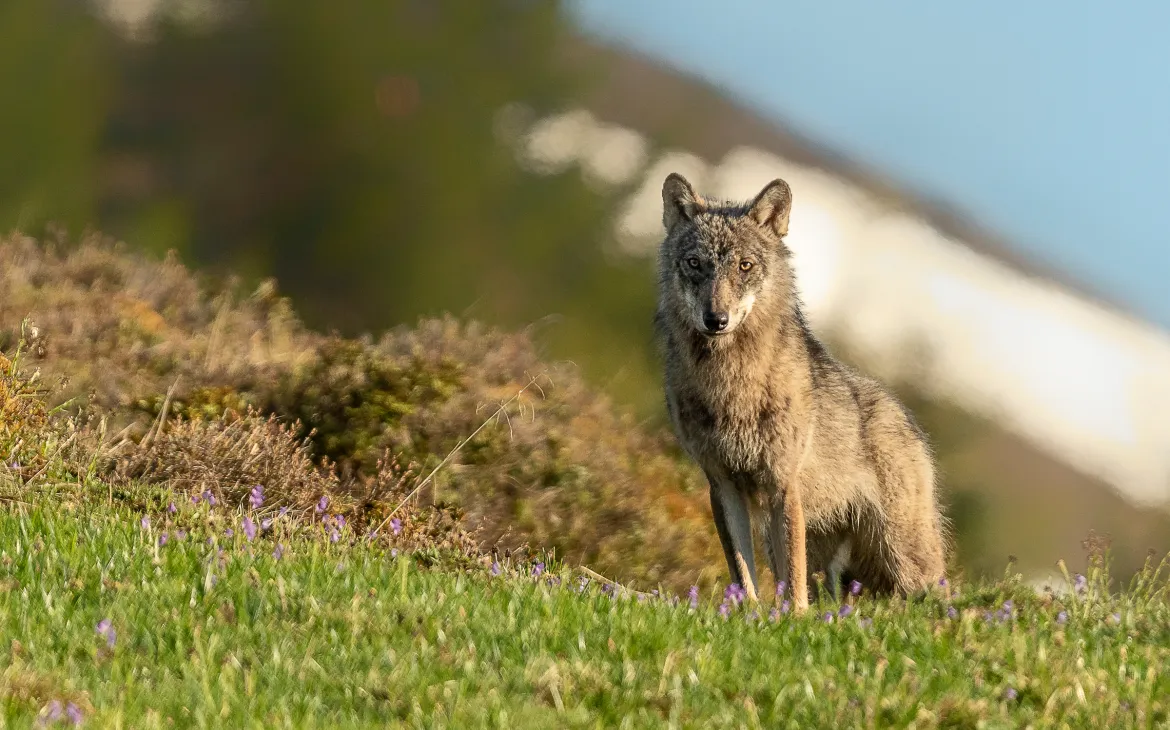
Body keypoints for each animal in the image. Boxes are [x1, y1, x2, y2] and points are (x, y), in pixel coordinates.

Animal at [653, 173, 948, 613]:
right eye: (694, 264)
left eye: (745, 265)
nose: (716, 319)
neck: (731, 385)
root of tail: (908, 420)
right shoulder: (721, 484)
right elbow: (742, 571)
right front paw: (748, 614)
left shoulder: (782, 484)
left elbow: (792, 581)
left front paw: (794, 618)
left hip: (904, 557)